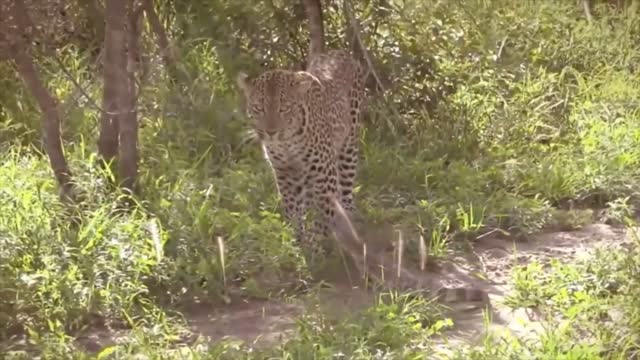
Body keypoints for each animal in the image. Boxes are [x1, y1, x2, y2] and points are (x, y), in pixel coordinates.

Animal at [236, 49, 364, 256]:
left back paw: (348, 221)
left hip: (348, 146)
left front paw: (316, 245)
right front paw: (294, 240)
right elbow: (292, 208)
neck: (286, 142)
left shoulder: (324, 172)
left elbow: (323, 213)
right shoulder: (285, 171)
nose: (270, 131)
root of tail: (340, 51)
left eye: (284, 108)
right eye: (259, 108)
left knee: (345, 190)